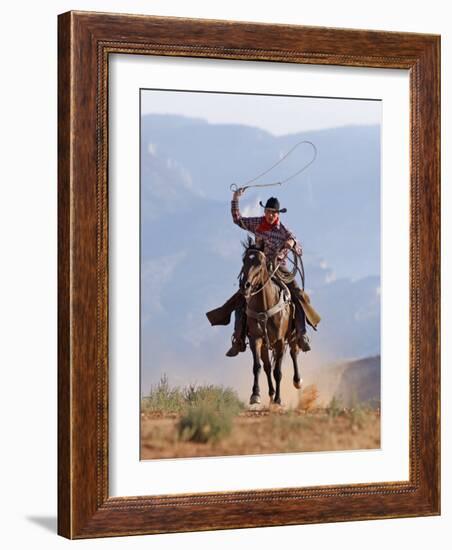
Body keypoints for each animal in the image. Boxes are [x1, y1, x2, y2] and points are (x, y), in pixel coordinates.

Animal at [242, 239, 302, 408]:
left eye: (260, 262)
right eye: (244, 260)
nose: (245, 285)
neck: (265, 305)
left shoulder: (280, 341)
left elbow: (278, 372)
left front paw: (278, 400)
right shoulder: (256, 339)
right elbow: (257, 367)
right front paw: (255, 395)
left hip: (292, 337)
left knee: (294, 353)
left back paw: (297, 381)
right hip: (265, 345)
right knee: (267, 366)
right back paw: (270, 393)